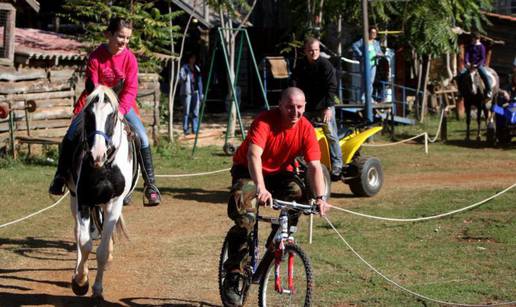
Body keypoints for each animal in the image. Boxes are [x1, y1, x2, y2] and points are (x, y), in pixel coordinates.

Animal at [67, 86, 138, 300]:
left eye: (112, 115)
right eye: (88, 114)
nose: (96, 155)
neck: (105, 166)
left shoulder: (114, 204)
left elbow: (102, 251)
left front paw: (98, 289)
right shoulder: (83, 200)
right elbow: (84, 244)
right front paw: (80, 281)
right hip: (73, 198)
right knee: (77, 232)